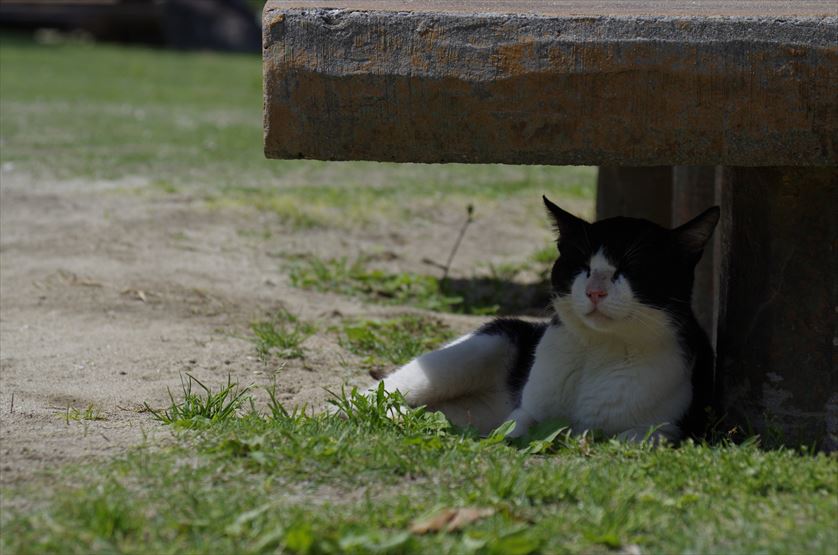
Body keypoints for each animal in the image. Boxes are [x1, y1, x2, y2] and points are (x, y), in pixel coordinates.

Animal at [375, 196, 720, 443]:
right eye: (582, 265)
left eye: (632, 268)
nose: (595, 291)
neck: (601, 349)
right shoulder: (526, 409)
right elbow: (515, 425)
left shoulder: (678, 425)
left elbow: (642, 435)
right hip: (473, 352)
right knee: (379, 392)